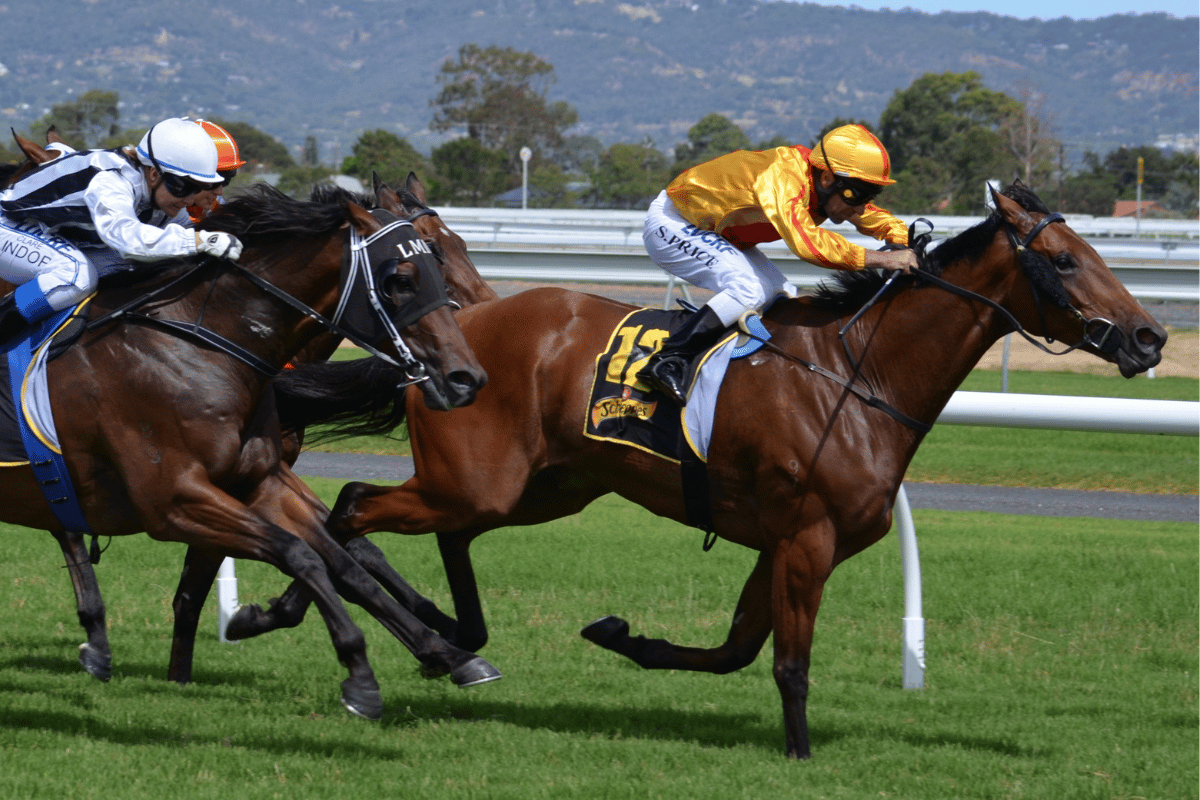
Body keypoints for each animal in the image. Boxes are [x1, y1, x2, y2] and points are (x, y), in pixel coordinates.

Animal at [0, 181, 500, 719]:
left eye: (452, 249)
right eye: (402, 278)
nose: (467, 376)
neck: (203, 344)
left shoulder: (260, 480)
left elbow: (343, 558)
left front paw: (448, 650)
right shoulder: (173, 500)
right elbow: (295, 555)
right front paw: (356, 672)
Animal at [219, 183, 1166, 757]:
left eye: (1096, 253)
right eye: (1068, 261)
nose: (1151, 335)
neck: (857, 376)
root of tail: (441, 344)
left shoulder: (782, 541)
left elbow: (735, 651)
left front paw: (622, 636)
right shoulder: (809, 538)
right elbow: (786, 662)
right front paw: (800, 751)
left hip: (539, 488)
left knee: (428, 528)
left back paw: (444, 638)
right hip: (478, 477)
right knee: (351, 505)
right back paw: (298, 617)